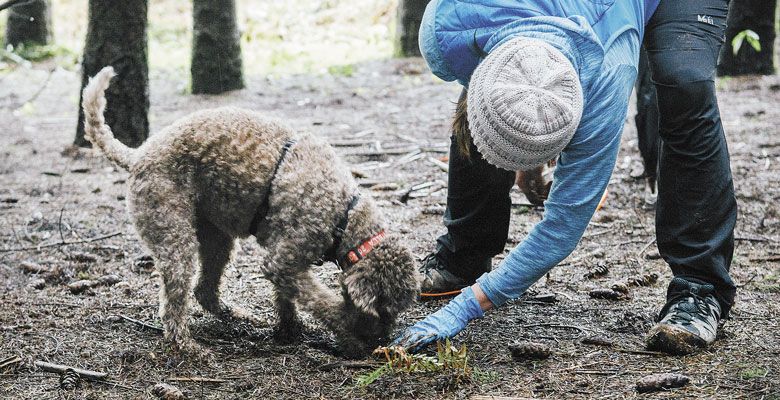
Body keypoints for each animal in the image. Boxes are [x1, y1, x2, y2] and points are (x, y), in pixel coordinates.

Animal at [81, 67, 418, 358]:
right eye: (383, 310)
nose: (385, 340)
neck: (344, 215)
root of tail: (138, 154)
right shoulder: (283, 262)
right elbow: (322, 303)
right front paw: (348, 334)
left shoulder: (284, 263)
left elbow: (287, 298)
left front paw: (288, 331)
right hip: (174, 235)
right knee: (174, 303)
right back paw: (187, 347)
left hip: (217, 239)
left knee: (205, 291)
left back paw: (239, 316)